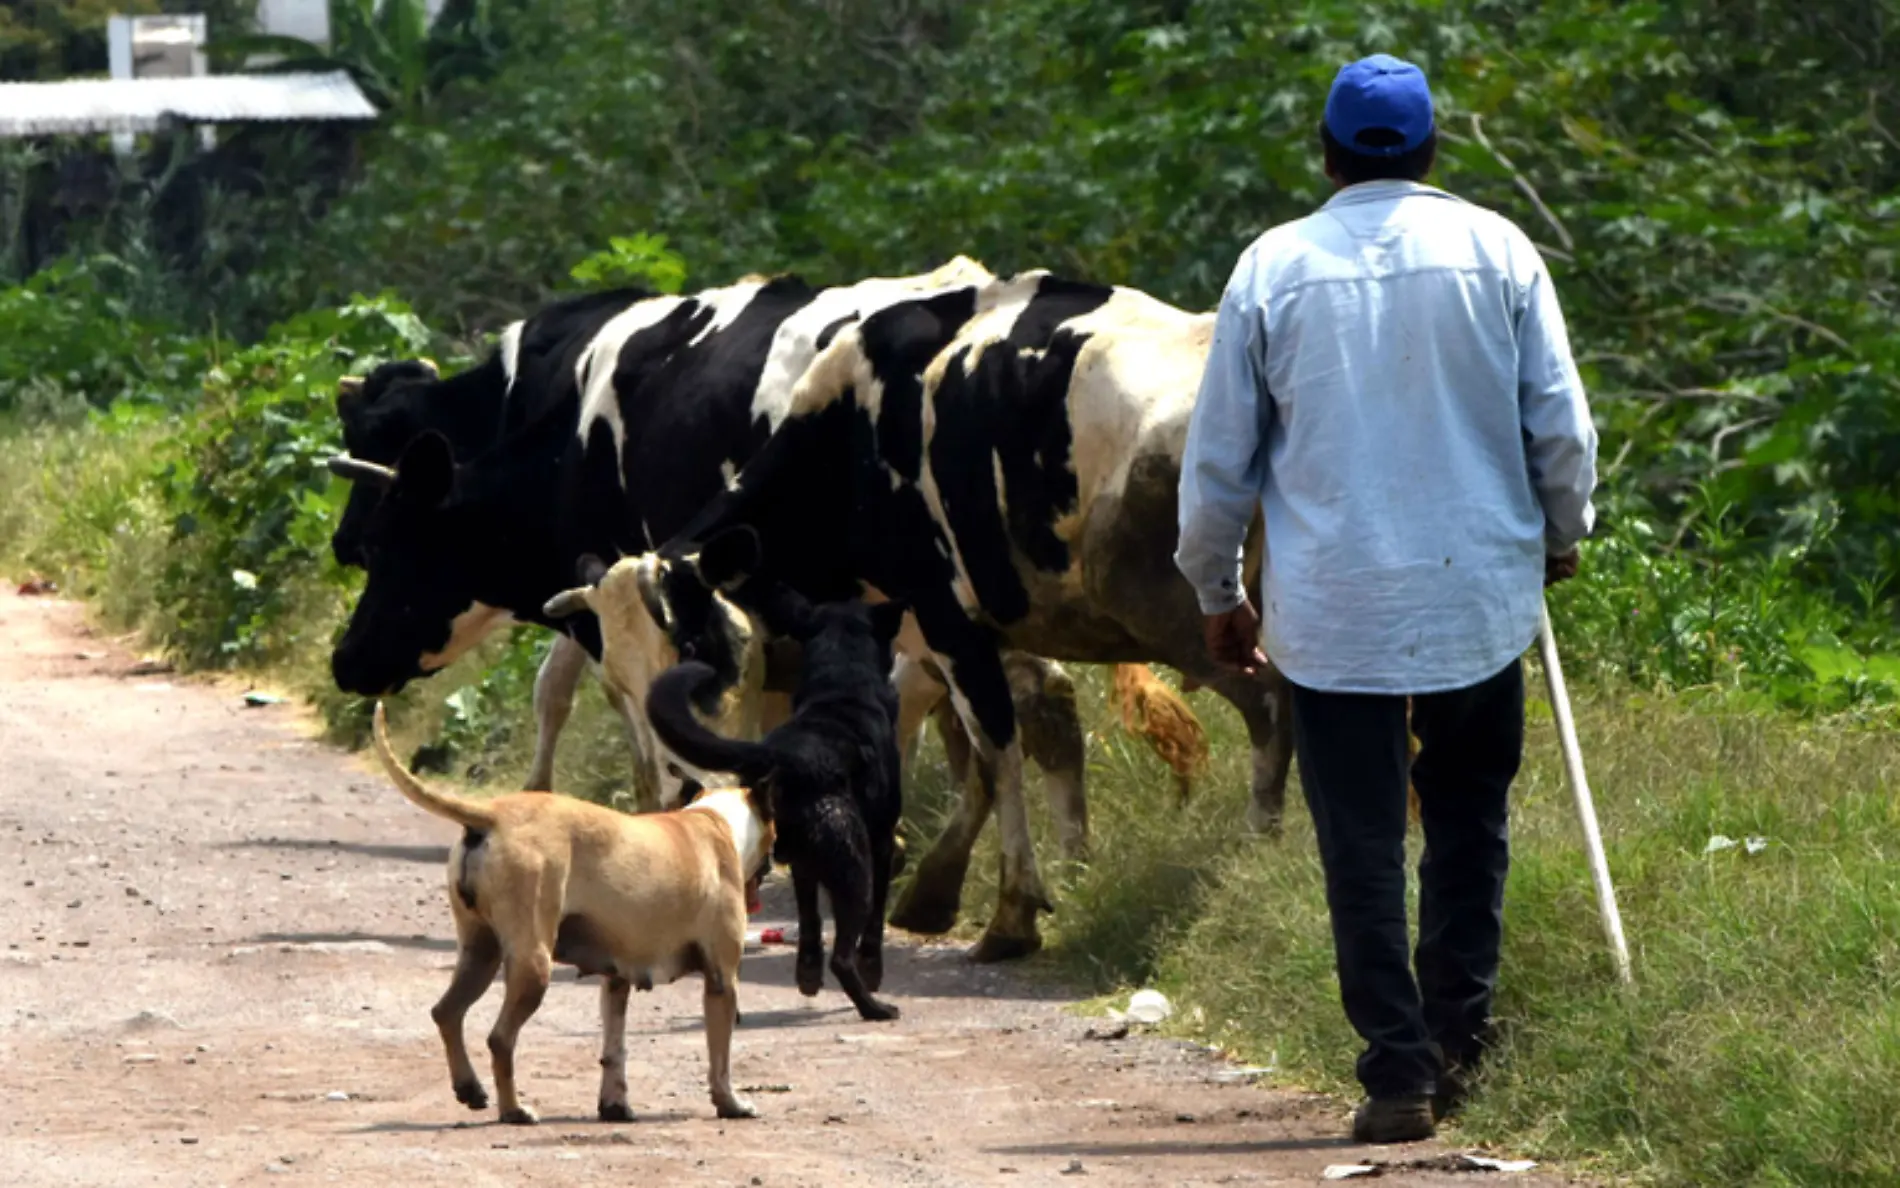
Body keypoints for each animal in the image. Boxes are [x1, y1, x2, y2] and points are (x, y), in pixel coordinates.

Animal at [370, 699, 771, 1125]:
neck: (713, 820)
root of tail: (493, 816)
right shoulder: (722, 980)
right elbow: (720, 1058)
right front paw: (731, 1103)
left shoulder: (616, 981)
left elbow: (614, 1050)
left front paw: (614, 1105)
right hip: (533, 966)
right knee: (500, 1039)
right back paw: (514, 1110)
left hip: (480, 954)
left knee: (447, 1013)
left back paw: (470, 1088)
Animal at [638, 271, 1292, 965]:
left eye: (689, 641)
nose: (675, 784)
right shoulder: (951, 629)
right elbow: (991, 742)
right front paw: (944, 886)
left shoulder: (945, 617)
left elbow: (997, 749)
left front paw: (1010, 914)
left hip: (1176, 611)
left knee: (1268, 703)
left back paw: (1256, 850)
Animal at [646, 593, 904, 1018]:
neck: (841, 686)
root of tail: (790, 756)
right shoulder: (881, 843)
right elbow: (875, 922)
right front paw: (872, 970)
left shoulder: (800, 863)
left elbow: (810, 917)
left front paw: (808, 971)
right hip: (855, 870)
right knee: (843, 955)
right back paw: (875, 1007)